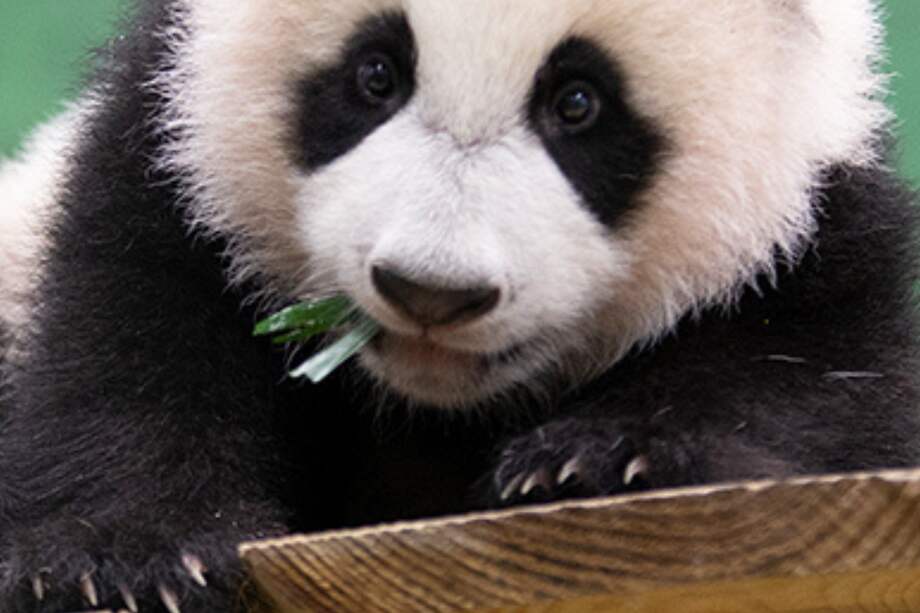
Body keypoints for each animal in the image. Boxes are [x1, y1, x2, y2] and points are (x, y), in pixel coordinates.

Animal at [1, 0, 918, 611]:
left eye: (577, 102)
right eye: (375, 73)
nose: (429, 290)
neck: (430, 404)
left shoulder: (817, 232)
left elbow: (810, 381)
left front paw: (599, 460)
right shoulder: (167, 159)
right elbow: (121, 338)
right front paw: (123, 561)